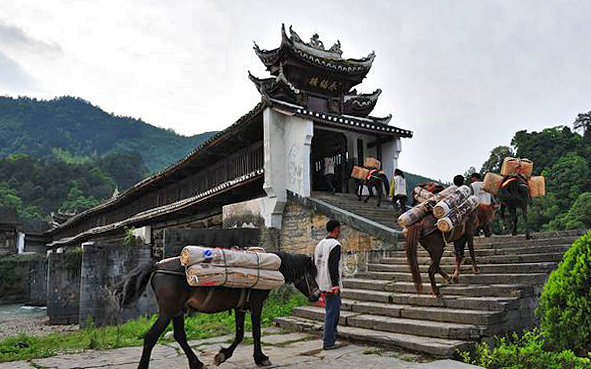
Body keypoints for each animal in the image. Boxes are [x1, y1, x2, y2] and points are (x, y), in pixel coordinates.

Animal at [114, 252, 322, 366]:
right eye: (311, 274)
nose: (317, 295)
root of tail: (157, 266)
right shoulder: (256, 305)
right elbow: (256, 333)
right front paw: (261, 358)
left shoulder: (240, 307)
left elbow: (239, 334)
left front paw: (222, 355)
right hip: (168, 311)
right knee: (151, 337)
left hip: (177, 310)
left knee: (179, 336)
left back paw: (197, 364)